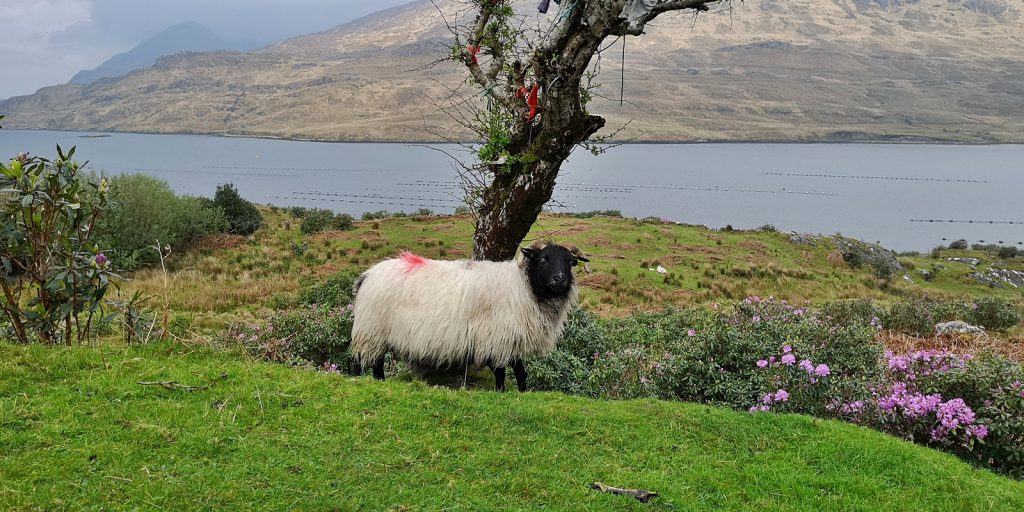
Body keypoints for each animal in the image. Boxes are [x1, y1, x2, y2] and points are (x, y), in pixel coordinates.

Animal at [352, 241, 589, 389]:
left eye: (570, 262)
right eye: (543, 260)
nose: (559, 279)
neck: (525, 286)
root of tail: (368, 274)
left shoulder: (509, 337)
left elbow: (521, 373)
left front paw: (522, 392)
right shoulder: (496, 337)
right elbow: (501, 372)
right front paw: (501, 392)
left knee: (376, 364)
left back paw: (379, 382)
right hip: (370, 329)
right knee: (361, 362)